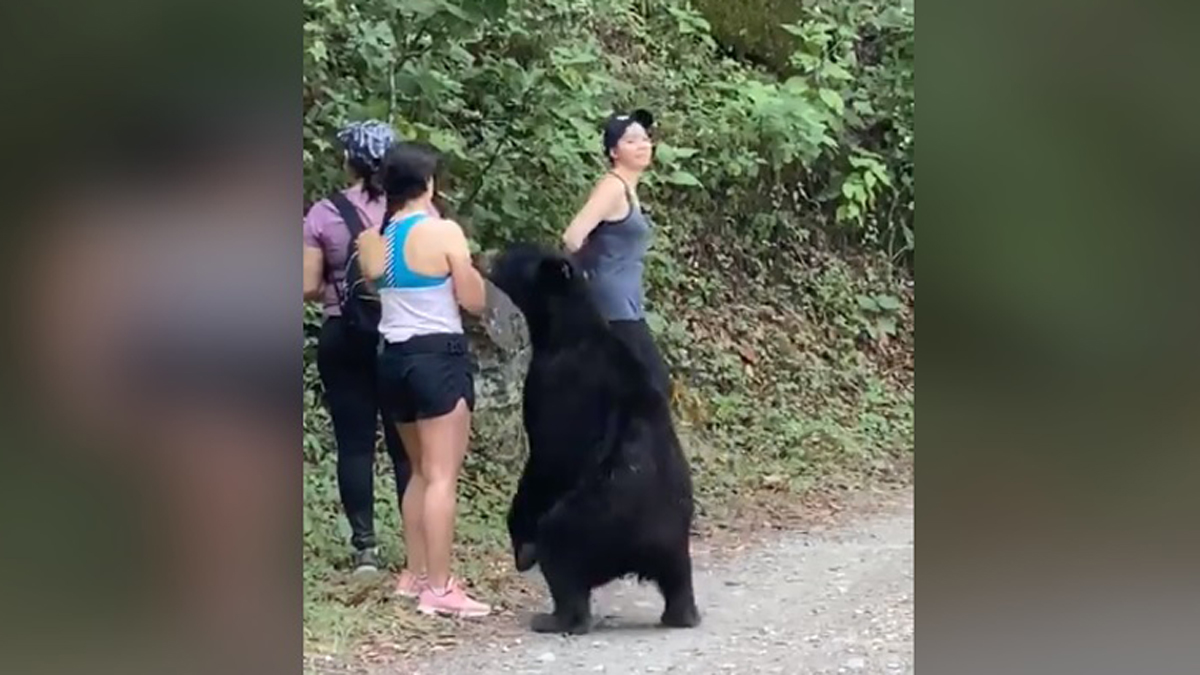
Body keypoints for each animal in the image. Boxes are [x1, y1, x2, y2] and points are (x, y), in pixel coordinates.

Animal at [485, 242, 701, 635]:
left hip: (591, 520)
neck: (562, 331)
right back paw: (681, 614)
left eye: (506, 257)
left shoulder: (554, 384)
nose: (480, 256)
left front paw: (520, 535)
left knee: (562, 555)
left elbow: (548, 455)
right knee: (679, 577)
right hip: (676, 539)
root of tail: (644, 550)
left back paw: (555, 617)